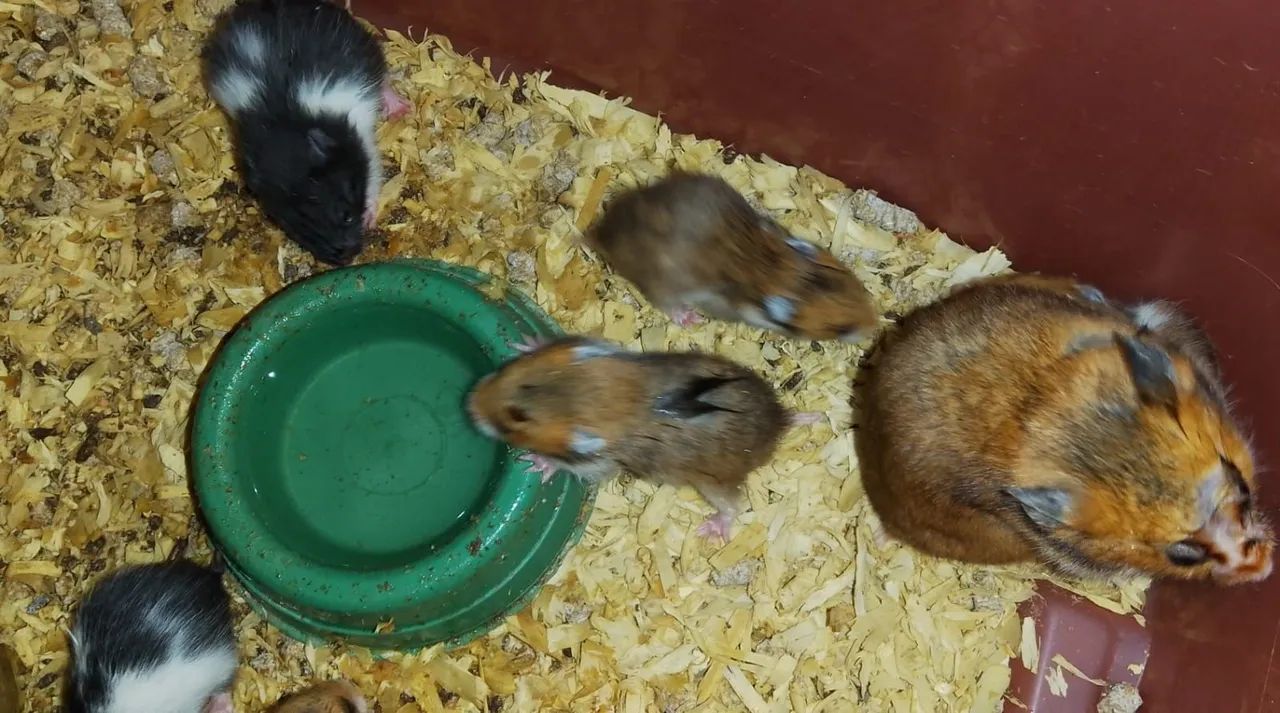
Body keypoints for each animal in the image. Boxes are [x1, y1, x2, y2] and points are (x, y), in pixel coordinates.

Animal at [202, 0, 411, 266]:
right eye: (295, 226)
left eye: (346, 216)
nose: (347, 259)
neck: (285, 124)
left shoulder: (364, 144)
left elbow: (373, 177)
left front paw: (369, 218)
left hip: (369, 52)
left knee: (383, 80)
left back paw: (400, 108)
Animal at [467, 336, 796, 539]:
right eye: (514, 371)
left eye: (514, 421)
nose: (469, 404)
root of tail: (781, 421)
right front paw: (527, 342)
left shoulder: (600, 463)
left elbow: (566, 465)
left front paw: (534, 462)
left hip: (713, 483)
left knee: (733, 507)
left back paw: (710, 530)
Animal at [584, 172, 879, 341]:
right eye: (840, 329)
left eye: (859, 287)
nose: (873, 327)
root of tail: (603, 232)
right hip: (663, 283)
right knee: (667, 303)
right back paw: (691, 318)